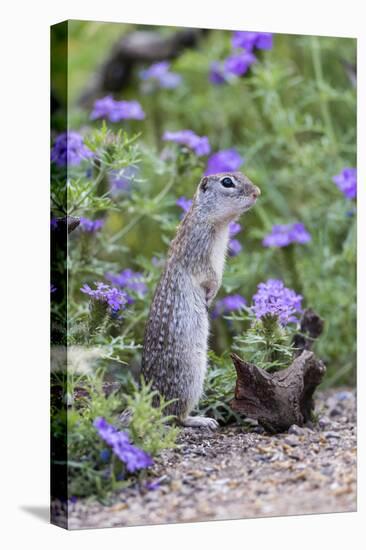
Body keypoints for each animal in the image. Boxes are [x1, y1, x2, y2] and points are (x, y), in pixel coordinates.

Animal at [142, 172, 260, 432]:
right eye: (227, 182)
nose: (257, 192)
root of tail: (147, 404)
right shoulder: (201, 253)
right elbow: (210, 277)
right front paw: (210, 295)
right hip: (191, 378)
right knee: (176, 417)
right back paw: (201, 420)